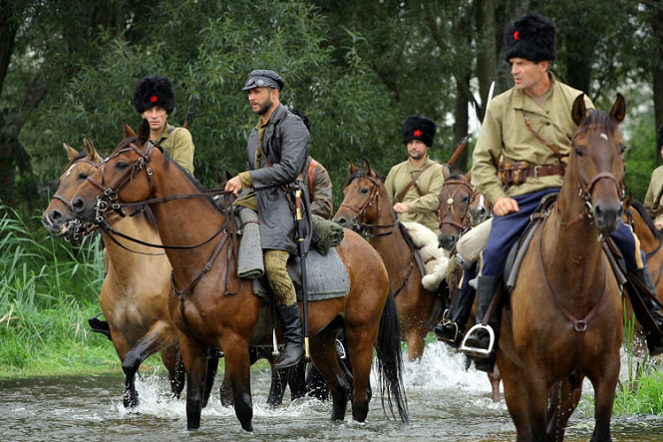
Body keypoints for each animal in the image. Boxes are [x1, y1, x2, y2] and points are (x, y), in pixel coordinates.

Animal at [40, 137, 184, 408]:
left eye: (84, 175)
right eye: (63, 177)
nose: (52, 217)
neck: (135, 271)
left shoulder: (166, 332)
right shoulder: (120, 337)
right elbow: (129, 373)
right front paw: (131, 402)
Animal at [70, 122, 408, 430]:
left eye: (121, 164)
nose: (77, 203)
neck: (205, 257)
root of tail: (372, 254)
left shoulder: (234, 344)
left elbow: (243, 406)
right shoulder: (192, 343)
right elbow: (193, 405)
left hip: (359, 332)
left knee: (360, 395)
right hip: (322, 338)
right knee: (341, 388)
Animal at [496, 95, 632, 440]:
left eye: (621, 148)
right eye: (579, 149)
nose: (608, 212)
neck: (575, 279)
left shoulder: (606, 371)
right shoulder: (535, 375)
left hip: (570, 385)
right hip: (512, 373)